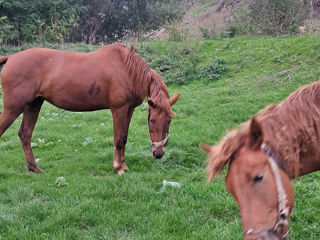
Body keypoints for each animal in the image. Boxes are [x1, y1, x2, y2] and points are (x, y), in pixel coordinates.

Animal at [0, 43, 180, 174]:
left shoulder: (129, 110)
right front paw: (118, 168)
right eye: (152, 120)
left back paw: (34, 168)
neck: (127, 70)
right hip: (13, 108)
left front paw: (123, 165)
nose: (158, 154)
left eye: (169, 121)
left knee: (25, 134)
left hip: (34, 105)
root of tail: (10, 58)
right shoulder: (119, 110)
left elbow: (124, 138)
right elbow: (118, 139)